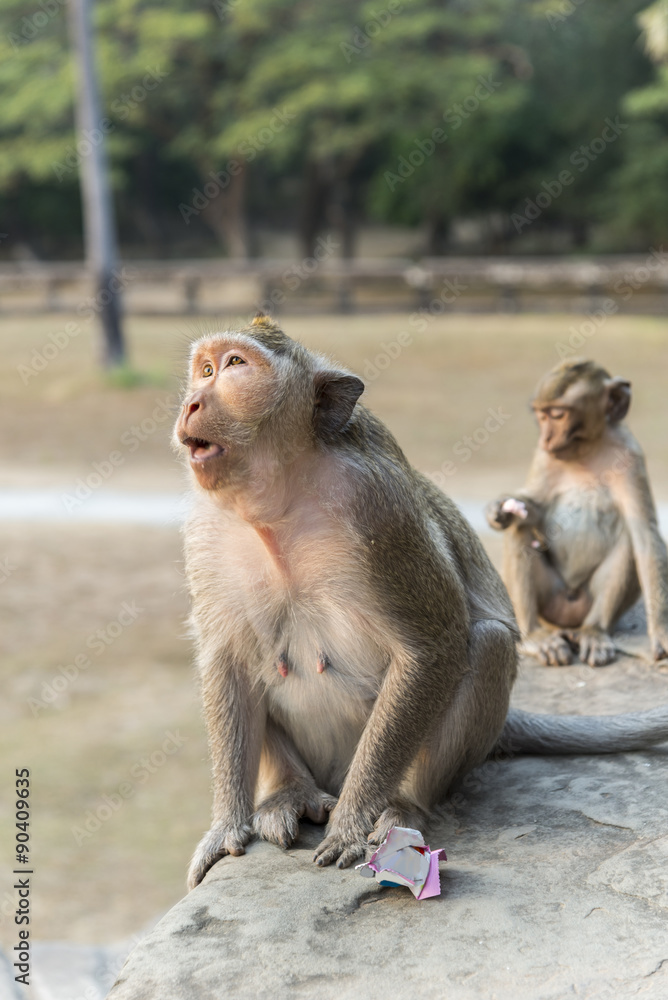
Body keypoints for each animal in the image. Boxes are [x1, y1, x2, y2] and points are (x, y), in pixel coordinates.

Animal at [487, 359, 668, 668]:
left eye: (558, 415)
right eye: (541, 415)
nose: (547, 438)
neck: (587, 448)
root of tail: (566, 622)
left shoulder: (630, 455)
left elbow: (644, 534)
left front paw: (662, 633)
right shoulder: (543, 456)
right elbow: (532, 511)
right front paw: (500, 510)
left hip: (585, 604)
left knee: (628, 541)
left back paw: (593, 632)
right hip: (550, 600)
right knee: (519, 530)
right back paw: (534, 636)